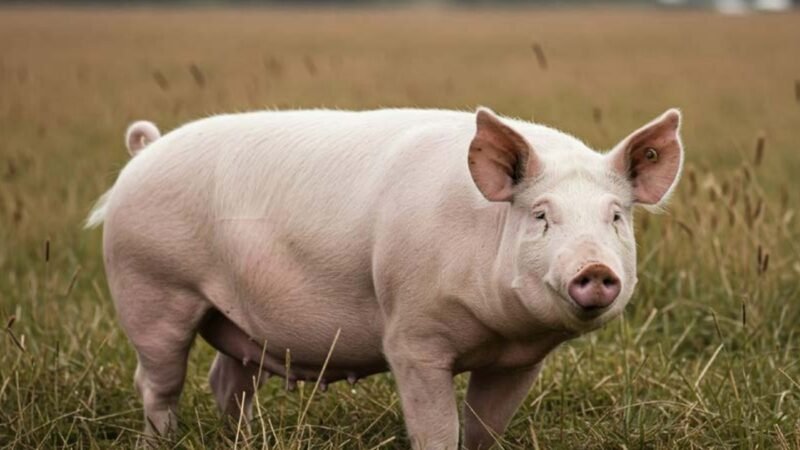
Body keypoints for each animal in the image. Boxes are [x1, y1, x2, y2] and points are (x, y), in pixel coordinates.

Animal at [86, 107, 683, 449]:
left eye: (615, 216)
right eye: (541, 214)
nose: (596, 270)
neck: (496, 331)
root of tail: (144, 153)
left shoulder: (520, 360)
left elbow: (484, 429)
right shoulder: (412, 338)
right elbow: (436, 431)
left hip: (237, 319)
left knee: (226, 382)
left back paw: (247, 440)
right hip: (152, 288)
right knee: (158, 383)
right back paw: (162, 440)